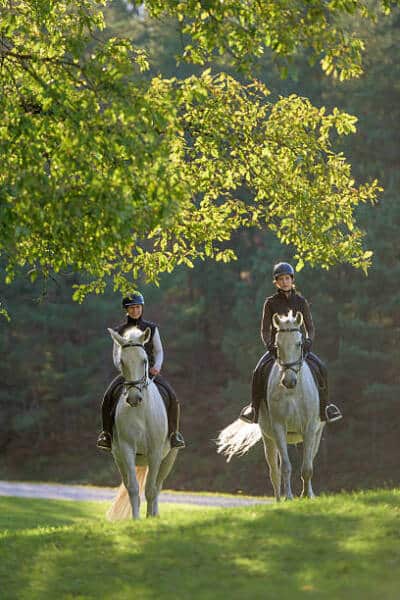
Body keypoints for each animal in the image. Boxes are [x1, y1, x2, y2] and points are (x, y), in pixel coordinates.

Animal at [216, 312, 324, 500]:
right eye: (277, 345)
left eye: (299, 343)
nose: (289, 381)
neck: (293, 392)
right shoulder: (279, 427)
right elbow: (285, 467)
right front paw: (289, 498)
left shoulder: (310, 428)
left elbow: (307, 467)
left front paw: (306, 496)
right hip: (269, 438)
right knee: (275, 470)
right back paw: (279, 499)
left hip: (315, 434)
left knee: (308, 460)